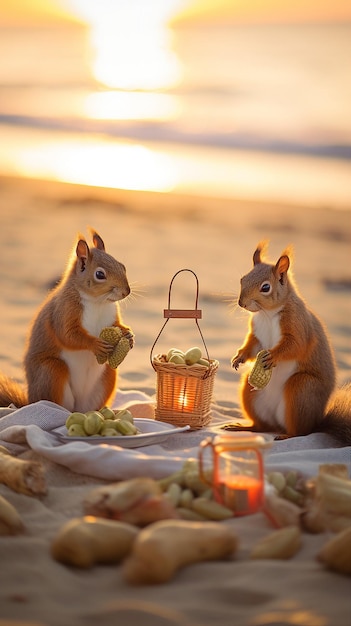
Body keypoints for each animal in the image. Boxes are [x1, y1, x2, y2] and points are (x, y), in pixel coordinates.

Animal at [0, 227, 134, 412]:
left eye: (122, 266)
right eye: (100, 274)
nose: (126, 291)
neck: (98, 302)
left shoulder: (112, 316)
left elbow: (116, 325)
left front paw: (128, 335)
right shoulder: (64, 310)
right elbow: (68, 335)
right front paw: (95, 344)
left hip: (108, 376)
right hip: (52, 371)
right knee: (57, 404)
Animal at [231, 239, 351, 444]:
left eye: (265, 287)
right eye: (242, 280)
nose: (242, 303)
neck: (267, 314)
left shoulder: (298, 326)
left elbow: (296, 346)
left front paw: (273, 356)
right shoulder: (257, 335)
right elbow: (253, 348)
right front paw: (239, 357)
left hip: (301, 389)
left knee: (301, 431)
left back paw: (288, 435)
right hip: (249, 390)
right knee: (261, 426)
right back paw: (244, 427)